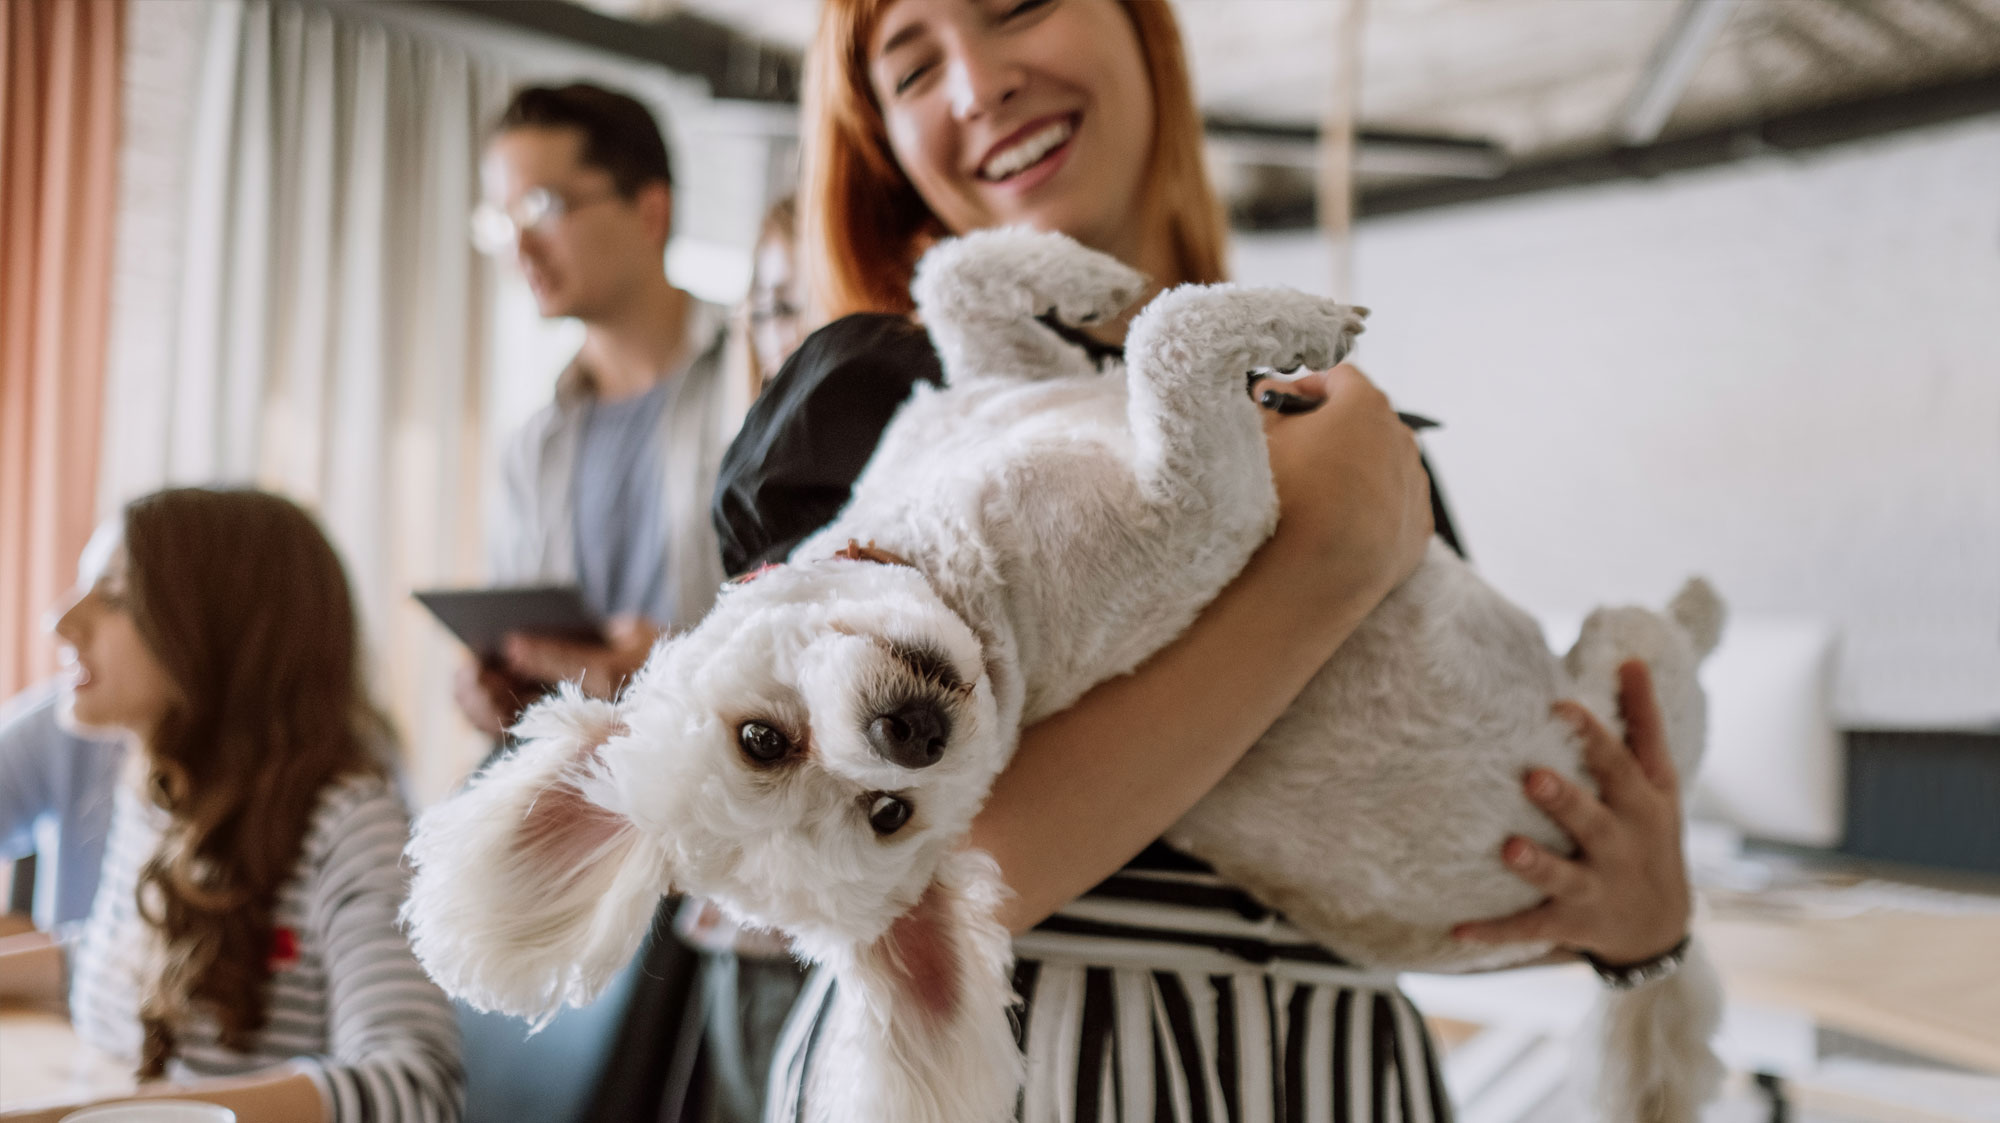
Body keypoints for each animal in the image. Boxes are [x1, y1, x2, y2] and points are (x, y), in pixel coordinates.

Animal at [402, 229, 1720, 1119]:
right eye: (890, 818)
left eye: (757, 741)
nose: (910, 734)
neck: (953, 553)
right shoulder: (1211, 514)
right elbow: (1168, 340)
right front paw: (1293, 320)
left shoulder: (987, 386)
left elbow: (961, 279)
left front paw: (1085, 274)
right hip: (1626, 674)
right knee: (1661, 652)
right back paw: (1700, 607)